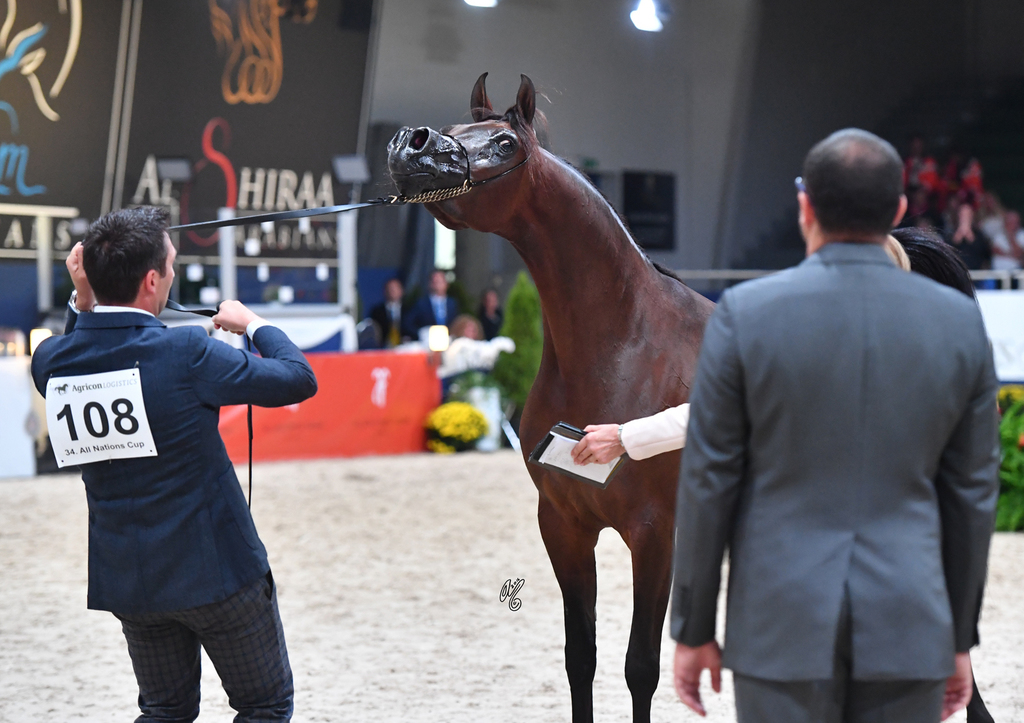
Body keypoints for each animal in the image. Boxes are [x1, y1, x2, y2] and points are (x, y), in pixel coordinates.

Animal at [387, 74, 715, 723]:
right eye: (456, 128)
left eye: (506, 142)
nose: (412, 145)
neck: (623, 346)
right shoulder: (563, 526)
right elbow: (580, 658)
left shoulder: (654, 535)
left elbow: (641, 668)